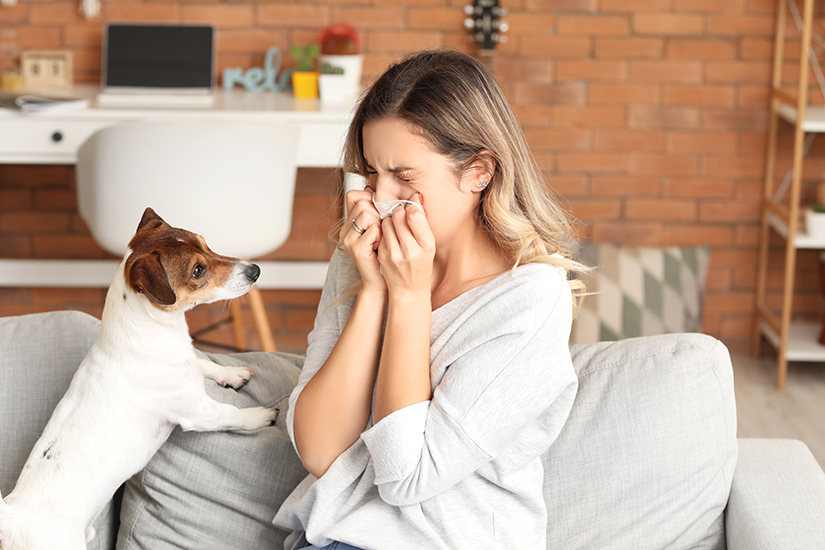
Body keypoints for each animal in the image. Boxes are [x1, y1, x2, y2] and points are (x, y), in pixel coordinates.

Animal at [0, 209, 278, 548]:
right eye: (198, 270)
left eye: (206, 243)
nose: (256, 270)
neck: (153, 333)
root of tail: (14, 518)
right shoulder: (198, 412)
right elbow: (232, 414)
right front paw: (261, 415)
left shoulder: (188, 364)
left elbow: (203, 363)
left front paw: (232, 373)